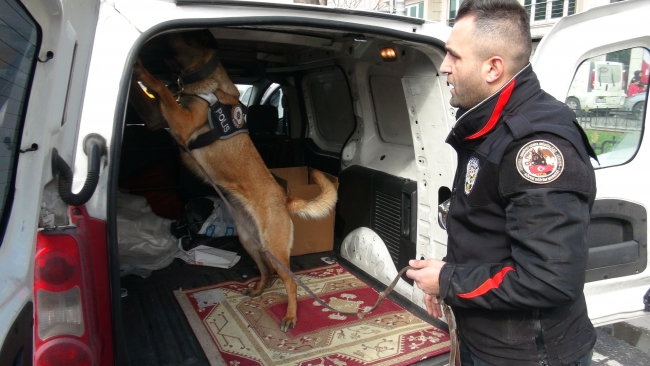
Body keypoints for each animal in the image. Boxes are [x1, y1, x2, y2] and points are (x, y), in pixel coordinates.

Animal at [130, 30, 336, 330]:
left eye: (184, 35)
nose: (153, 43)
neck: (203, 82)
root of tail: (284, 197)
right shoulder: (158, 119)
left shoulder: (181, 123)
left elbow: (163, 89)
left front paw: (144, 71)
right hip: (250, 240)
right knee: (267, 271)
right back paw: (259, 289)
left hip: (274, 248)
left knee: (291, 282)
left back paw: (290, 316)